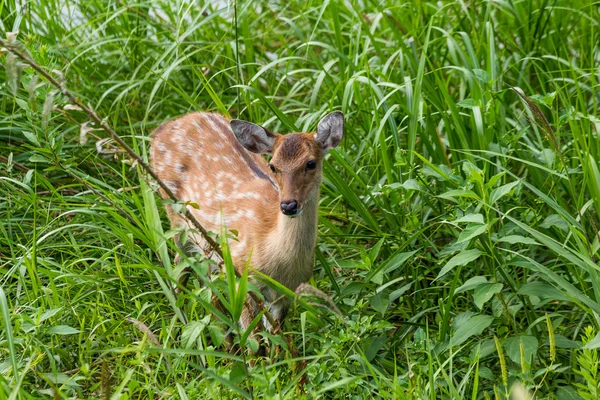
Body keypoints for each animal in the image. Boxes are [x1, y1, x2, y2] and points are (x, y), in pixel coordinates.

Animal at [152, 111, 344, 336]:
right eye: (273, 166)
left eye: (311, 163)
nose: (288, 205)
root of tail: (161, 130)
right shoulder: (242, 279)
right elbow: (253, 341)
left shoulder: (286, 294)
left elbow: (275, 340)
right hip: (175, 215)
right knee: (178, 270)